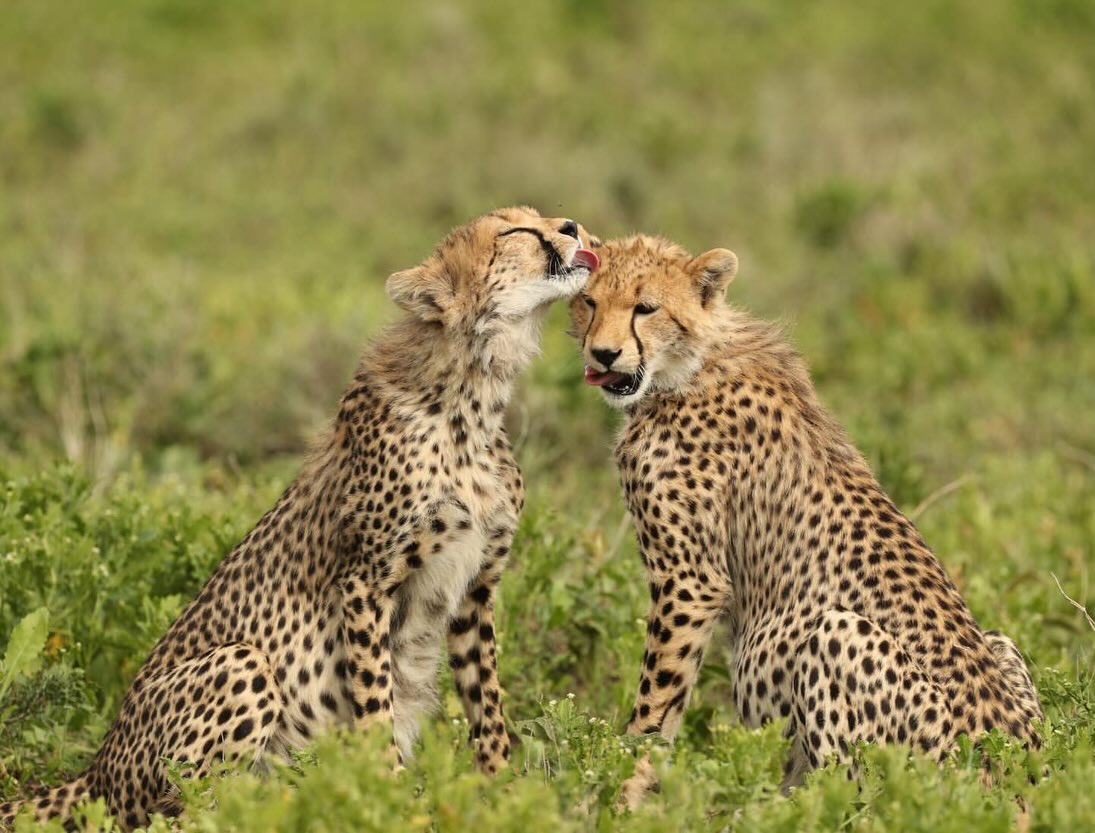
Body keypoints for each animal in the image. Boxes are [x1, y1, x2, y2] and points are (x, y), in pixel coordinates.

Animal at [1, 206, 600, 830]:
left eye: (541, 218)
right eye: (516, 231)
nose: (574, 228)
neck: (473, 389)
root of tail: (95, 767)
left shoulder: (474, 590)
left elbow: (488, 708)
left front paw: (508, 797)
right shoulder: (364, 580)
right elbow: (374, 704)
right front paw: (386, 797)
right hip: (240, 666)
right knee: (191, 811)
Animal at [569, 234, 1041, 808]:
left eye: (646, 308)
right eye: (589, 301)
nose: (603, 353)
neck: (692, 364)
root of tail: (1019, 774)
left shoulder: (690, 581)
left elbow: (658, 697)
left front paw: (622, 786)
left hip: (837, 637)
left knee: (850, 800)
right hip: (1002, 643)